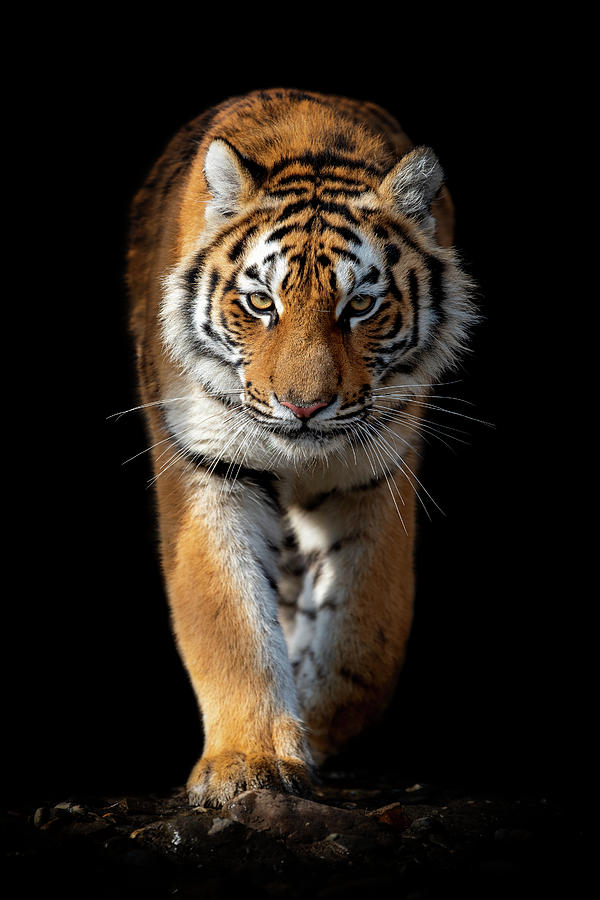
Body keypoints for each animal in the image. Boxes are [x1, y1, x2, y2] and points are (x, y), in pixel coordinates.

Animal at [125, 89, 474, 808]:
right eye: (261, 302)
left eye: (361, 305)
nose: (303, 406)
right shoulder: (209, 469)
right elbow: (229, 623)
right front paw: (252, 762)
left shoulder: (375, 471)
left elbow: (367, 632)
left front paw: (316, 731)